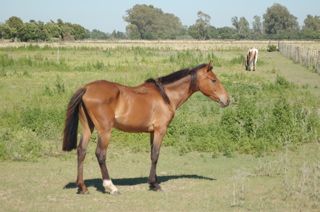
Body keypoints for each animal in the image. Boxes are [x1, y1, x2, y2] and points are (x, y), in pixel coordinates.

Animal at [61, 60, 229, 194]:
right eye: (214, 80)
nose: (227, 100)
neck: (165, 96)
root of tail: (87, 88)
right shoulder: (160, 130)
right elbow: (156, 154)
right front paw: (155, 185)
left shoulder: (152, 132)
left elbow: (152, 154)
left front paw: (153, 182)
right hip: (105, 130)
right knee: (100, 154)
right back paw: (111, 187)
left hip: (87, 127)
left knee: (81, 151)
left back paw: (82, 187)